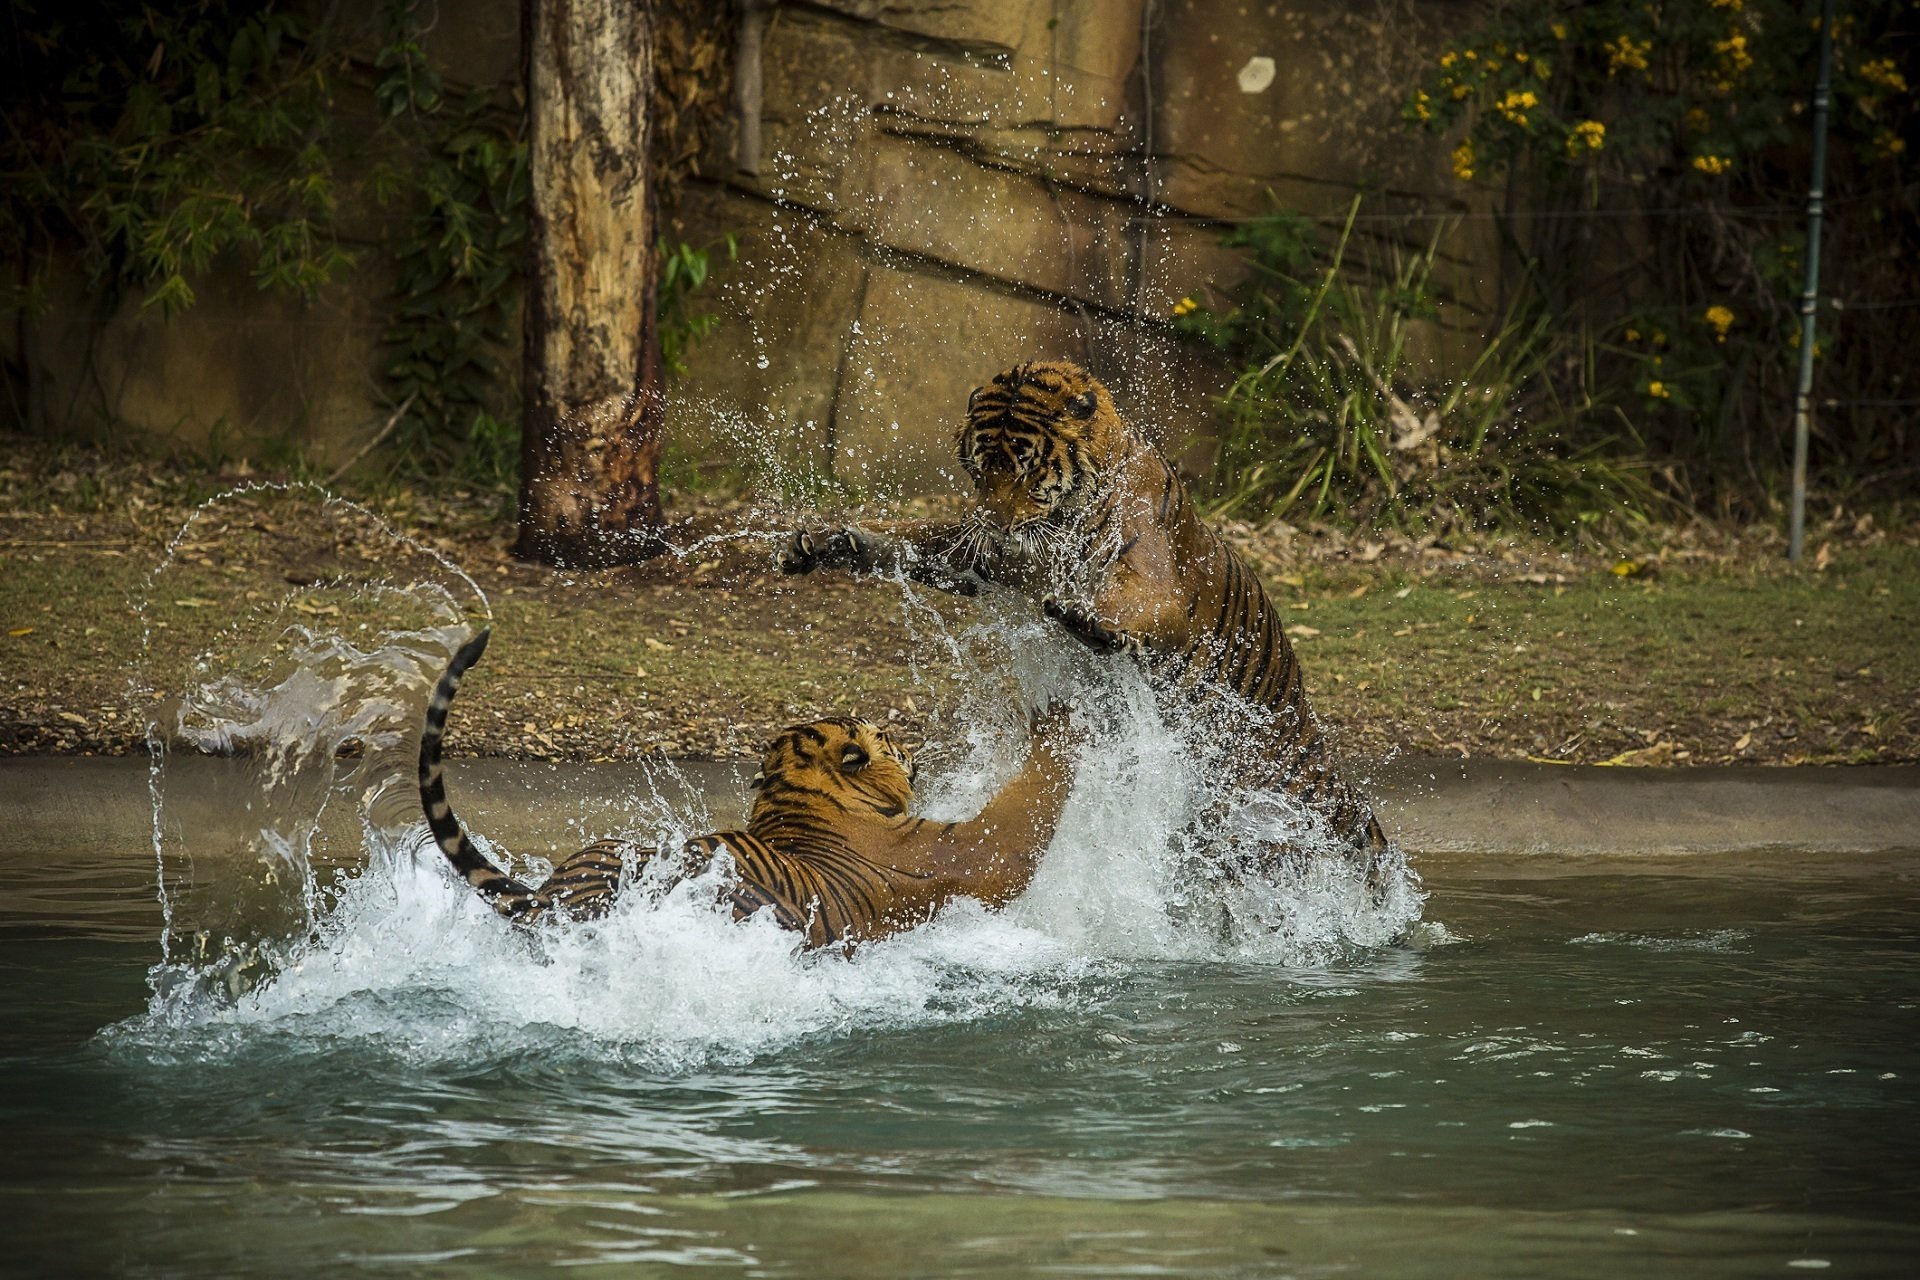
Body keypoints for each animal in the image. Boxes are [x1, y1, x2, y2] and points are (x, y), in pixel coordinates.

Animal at [418, 628, 1075, 947]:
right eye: (888, 734)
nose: (912, 748)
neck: (799, 798)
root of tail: (556, 902)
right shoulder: (968, 849)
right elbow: (1025, 807)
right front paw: (1060, 716)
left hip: (608, 847)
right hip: (745, 901)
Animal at [780, 358, 1391, 890]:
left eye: (1026, 470)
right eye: (980, 469)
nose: (995, 523)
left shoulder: (1155, 576)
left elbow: (1130, 602)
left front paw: (1082, 612)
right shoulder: (989, 558)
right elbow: (918, 540)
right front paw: (831, 543)